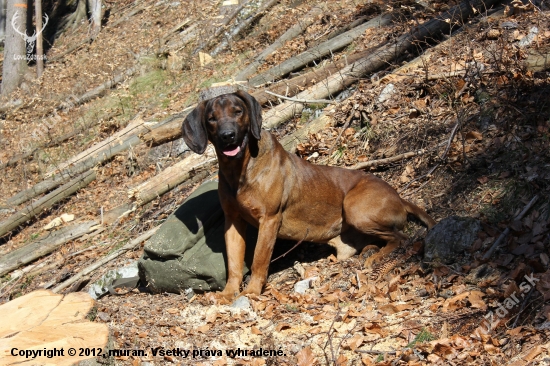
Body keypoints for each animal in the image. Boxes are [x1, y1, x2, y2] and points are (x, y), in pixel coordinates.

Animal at [183, 90, 438, 298]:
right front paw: (228, 293)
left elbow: (259, 260)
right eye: (211, 119)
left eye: (238, 112)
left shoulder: (269, 219)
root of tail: (399, 197)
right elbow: (234, 263)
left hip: (355, 208)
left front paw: (252, 291)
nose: (228, 135)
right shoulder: (233, 221)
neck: (239, 169)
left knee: (401, 238)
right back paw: (370, 251)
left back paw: (377, 256)